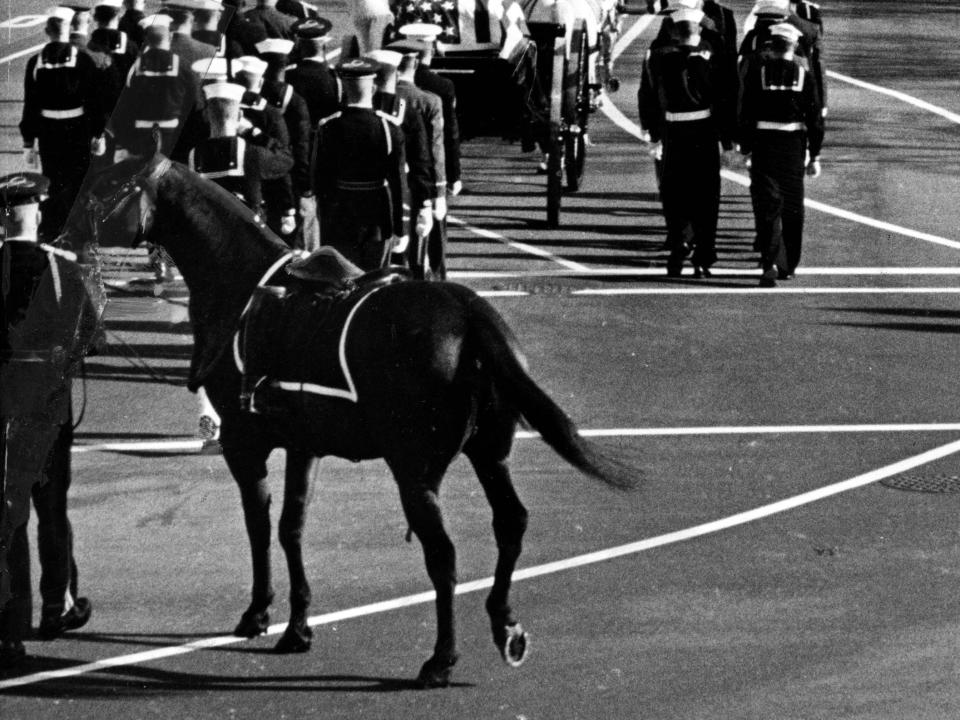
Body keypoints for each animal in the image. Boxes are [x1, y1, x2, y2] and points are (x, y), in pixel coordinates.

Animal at [67, 153, 636, 688]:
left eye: (106, 184)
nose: (67, 231)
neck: (242, 284)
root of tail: (470, 313)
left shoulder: (243, 442)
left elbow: (258, 525)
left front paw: (259, 612)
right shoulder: (304, 445)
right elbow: (290, 526)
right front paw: (298, 626)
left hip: (414, 472)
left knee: (444, 556)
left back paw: (441, 658)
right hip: (489, 454)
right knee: (510, 523)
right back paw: (504, 622)